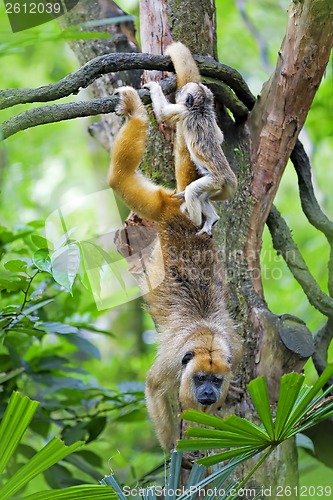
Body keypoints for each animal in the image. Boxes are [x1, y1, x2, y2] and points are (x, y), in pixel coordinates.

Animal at [145, 41, 236, 236]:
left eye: (181, 91)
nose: (178, 90)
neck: (200, 108)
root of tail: (230, 180)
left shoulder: (183, 111)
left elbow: (162, 113)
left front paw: (154, 87)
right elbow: (220, 136)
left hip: (215, 180)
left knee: (193, 191)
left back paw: (193, 220)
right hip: (215, 184)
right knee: (202, 197)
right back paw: (212, 219)